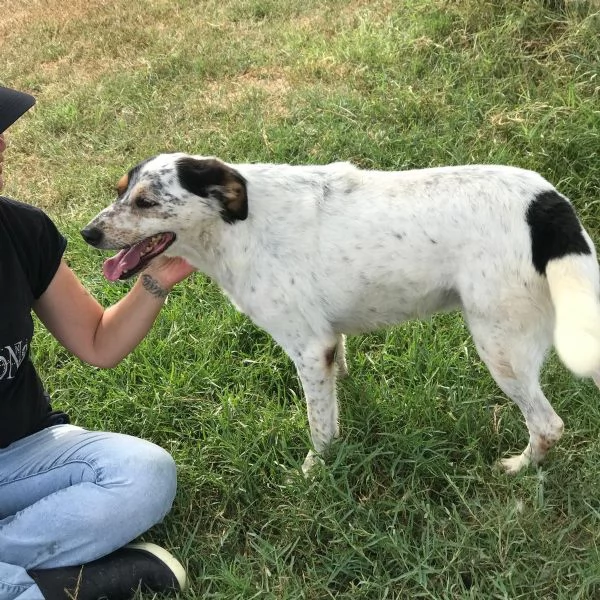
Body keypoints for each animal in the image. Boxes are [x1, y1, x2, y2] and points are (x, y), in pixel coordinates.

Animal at [81, 157, 600, 476]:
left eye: (146, 202)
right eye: (119, 192)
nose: (86, 233)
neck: (238, 227)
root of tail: (548, 206)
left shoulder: (309, 349)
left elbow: (320, 427)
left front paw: (316, 471)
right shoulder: (329, 342)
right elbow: (337, 387)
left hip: (500, 346)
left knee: (548, 425)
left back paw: (519, 468)